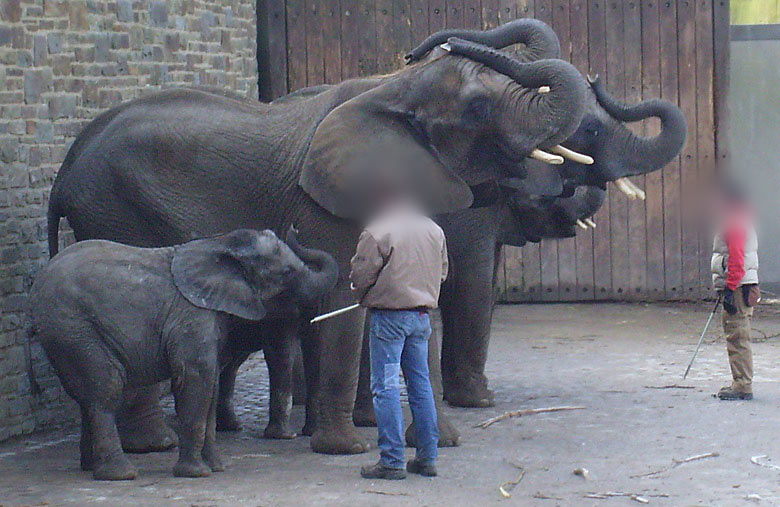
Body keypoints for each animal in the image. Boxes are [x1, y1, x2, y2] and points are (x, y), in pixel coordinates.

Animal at [28, 229, 338, 480]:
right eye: (286, 273)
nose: (294, 229)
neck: (220, 243)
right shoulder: (192, 315)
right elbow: (196, 379)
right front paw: (196, 474)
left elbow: (211, 386)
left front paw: (216, 468)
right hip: (75, 328)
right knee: (106, 390)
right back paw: (121, 475)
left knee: (87, 397)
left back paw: (91, 468)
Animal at [45, 19, 588, 456]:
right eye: (477, 108)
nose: (424, 48)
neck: (391, 90)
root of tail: (66, 169)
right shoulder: (324, 203)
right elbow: (344, 302)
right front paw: (344, 449)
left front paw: (441, 442)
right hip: (114, 210)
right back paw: (154, 446)